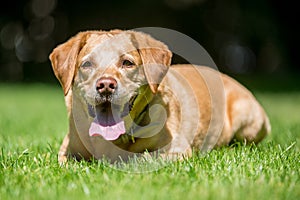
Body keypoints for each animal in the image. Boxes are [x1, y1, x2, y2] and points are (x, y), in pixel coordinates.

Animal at [49, 29, 272, 164]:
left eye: (127, 63)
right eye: (87, 64)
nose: (105, 86)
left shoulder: (176, 150)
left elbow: (140, 158)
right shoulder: (66, 152)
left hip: (247, 118)